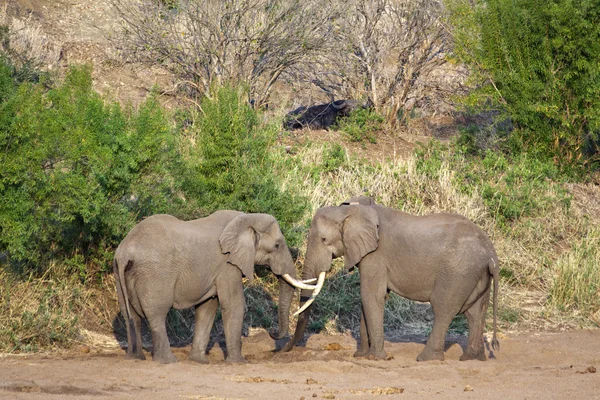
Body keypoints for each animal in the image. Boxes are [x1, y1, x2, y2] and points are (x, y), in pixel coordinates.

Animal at [114, 211, 316, 364]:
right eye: (277, 245)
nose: (273, 333)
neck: (246, 218)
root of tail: (125, 250)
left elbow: (207, 307)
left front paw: (200, 361)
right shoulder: (228, 265)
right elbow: (234, 305)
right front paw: (239, 363)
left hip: (119, 270)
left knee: (130, 315)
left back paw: (136, 358)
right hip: (155, 273)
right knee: (157, 313)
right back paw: (167, 361)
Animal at [284, 197, 500, 362]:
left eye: (323, 240)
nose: (285, 349)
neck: (351, 210)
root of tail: (491, 253)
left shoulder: (376, 256)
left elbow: (371, 296)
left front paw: (377, 358)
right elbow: (368, 299)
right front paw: (361, 356)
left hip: (457, 273)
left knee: (443, 309)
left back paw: (426, 358)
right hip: (475, 275)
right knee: (475, 313)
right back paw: (472, 359)